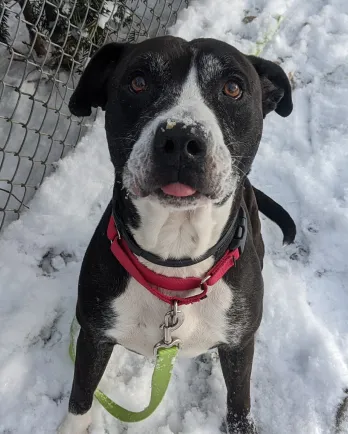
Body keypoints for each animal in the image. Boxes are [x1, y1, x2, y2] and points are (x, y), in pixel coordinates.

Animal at [59, 36, 294, 434]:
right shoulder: (93, 335)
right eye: (138, 82)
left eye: (233, 88)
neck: (175, 260)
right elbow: (80, 397)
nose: (181, 138)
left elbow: (239, 406)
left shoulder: (240, 346)